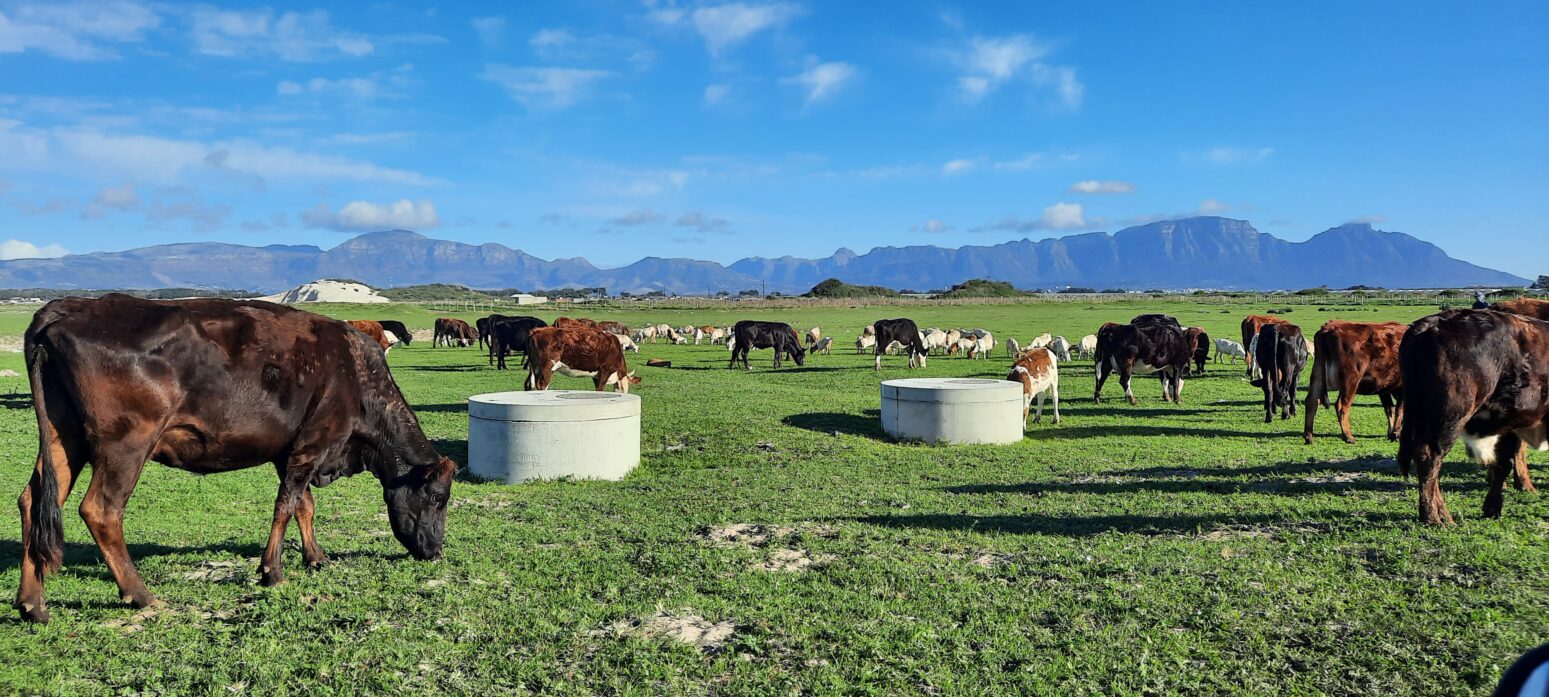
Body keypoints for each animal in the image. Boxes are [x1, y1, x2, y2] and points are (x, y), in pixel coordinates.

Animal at [15, 295, 455, 623]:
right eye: (438, 498)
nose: (436, 550)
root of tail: (66, 307)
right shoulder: (311, 445)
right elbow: (286, 506)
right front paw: (272, 572)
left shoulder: (287, 450)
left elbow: (305, 507)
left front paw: (316, 558)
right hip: (125, 444)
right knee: (101, 510)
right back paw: (140, 594)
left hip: (64, 437)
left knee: (32, 500)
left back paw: (32, 604)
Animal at [1398, 310, 1549, 525]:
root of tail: (1431, 324)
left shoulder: (1510, 422)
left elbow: (1503, 463)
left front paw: (1492, 507)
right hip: (1450, 417)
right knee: (1429, 457)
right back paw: (1433, 517)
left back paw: (1442, 514)